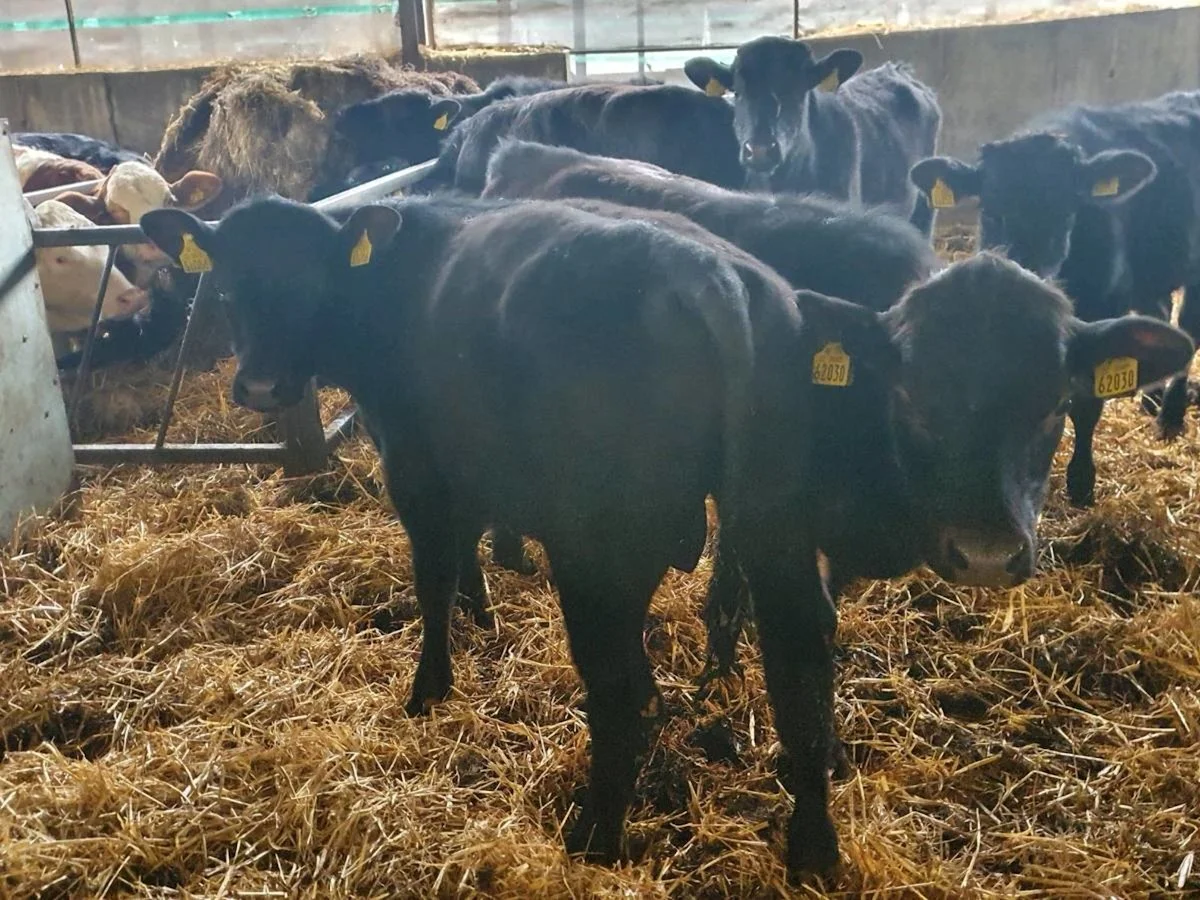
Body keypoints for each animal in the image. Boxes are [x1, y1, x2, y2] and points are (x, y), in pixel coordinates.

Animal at [140, 193, 1191, 878]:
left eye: (306, 277)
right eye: (227, 284)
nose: (259, 386)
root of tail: (711, 279)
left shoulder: (418, 459)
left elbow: (436, 568)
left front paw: (432, 684)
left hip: (603, 547)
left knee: (617, 690)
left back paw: (596, 832)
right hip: (762, 527)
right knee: (796, 664)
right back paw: (813, 845)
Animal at [909, 90, 1200, 506]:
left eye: (1066, 212)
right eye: (991, 210)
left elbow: (1087, 405)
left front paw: (1081, 481)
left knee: (1189, 328)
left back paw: (1170, 417)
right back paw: (1152, 400)